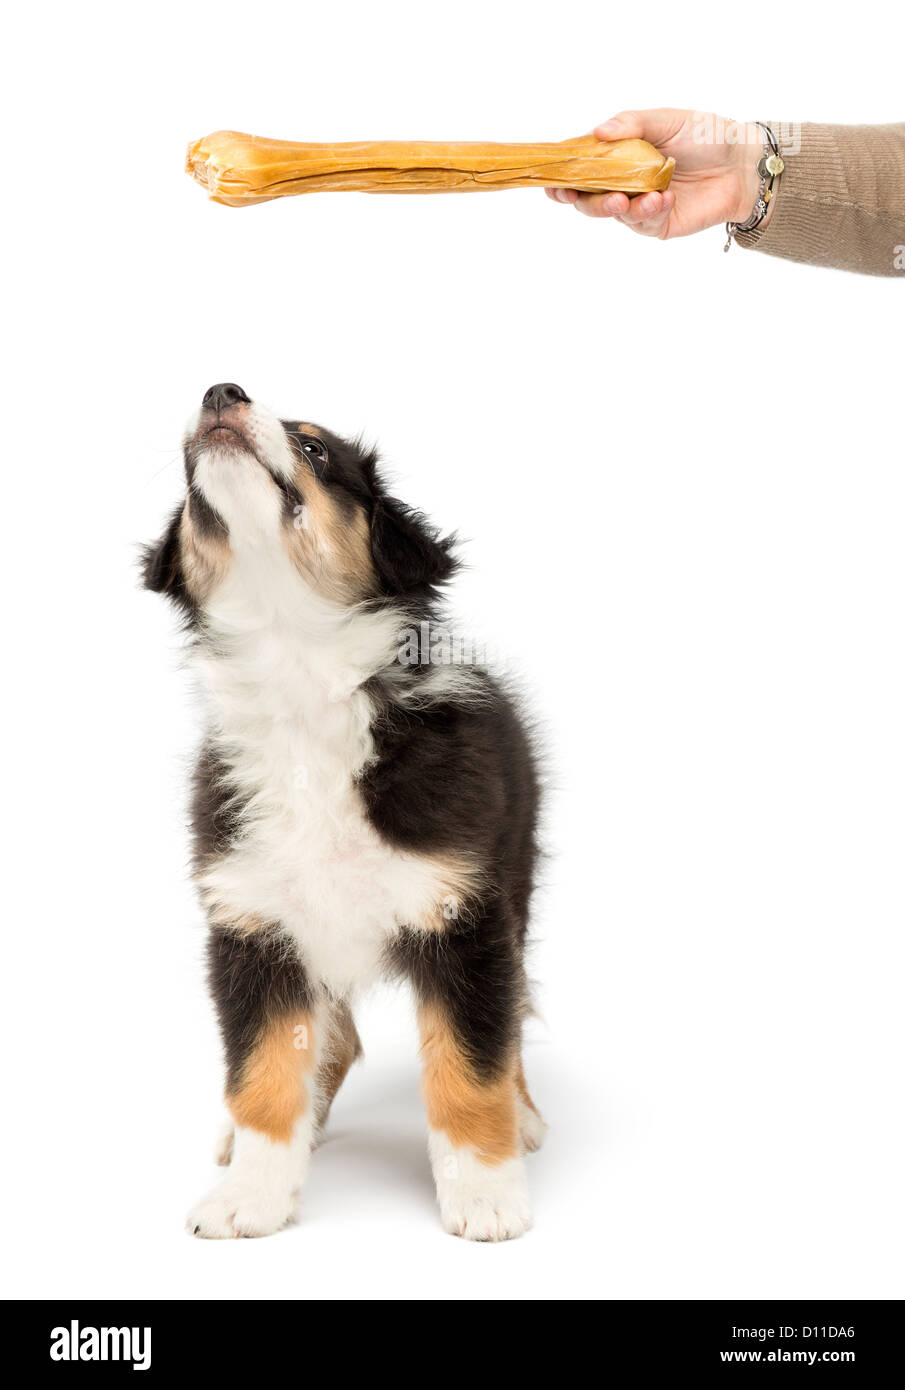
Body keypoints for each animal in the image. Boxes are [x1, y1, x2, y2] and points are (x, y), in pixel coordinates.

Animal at [145, 380, 544, 1239]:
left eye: (314, 448)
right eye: (186, 479)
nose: (221, 391)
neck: (298, 678)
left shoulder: (463, 916)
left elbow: (471, 1062)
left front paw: (485, 1192)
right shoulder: (252, 924)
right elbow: (263, 1066)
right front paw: (252, 1191)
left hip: (515, 887)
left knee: (514, 1013)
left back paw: (524, 1117)